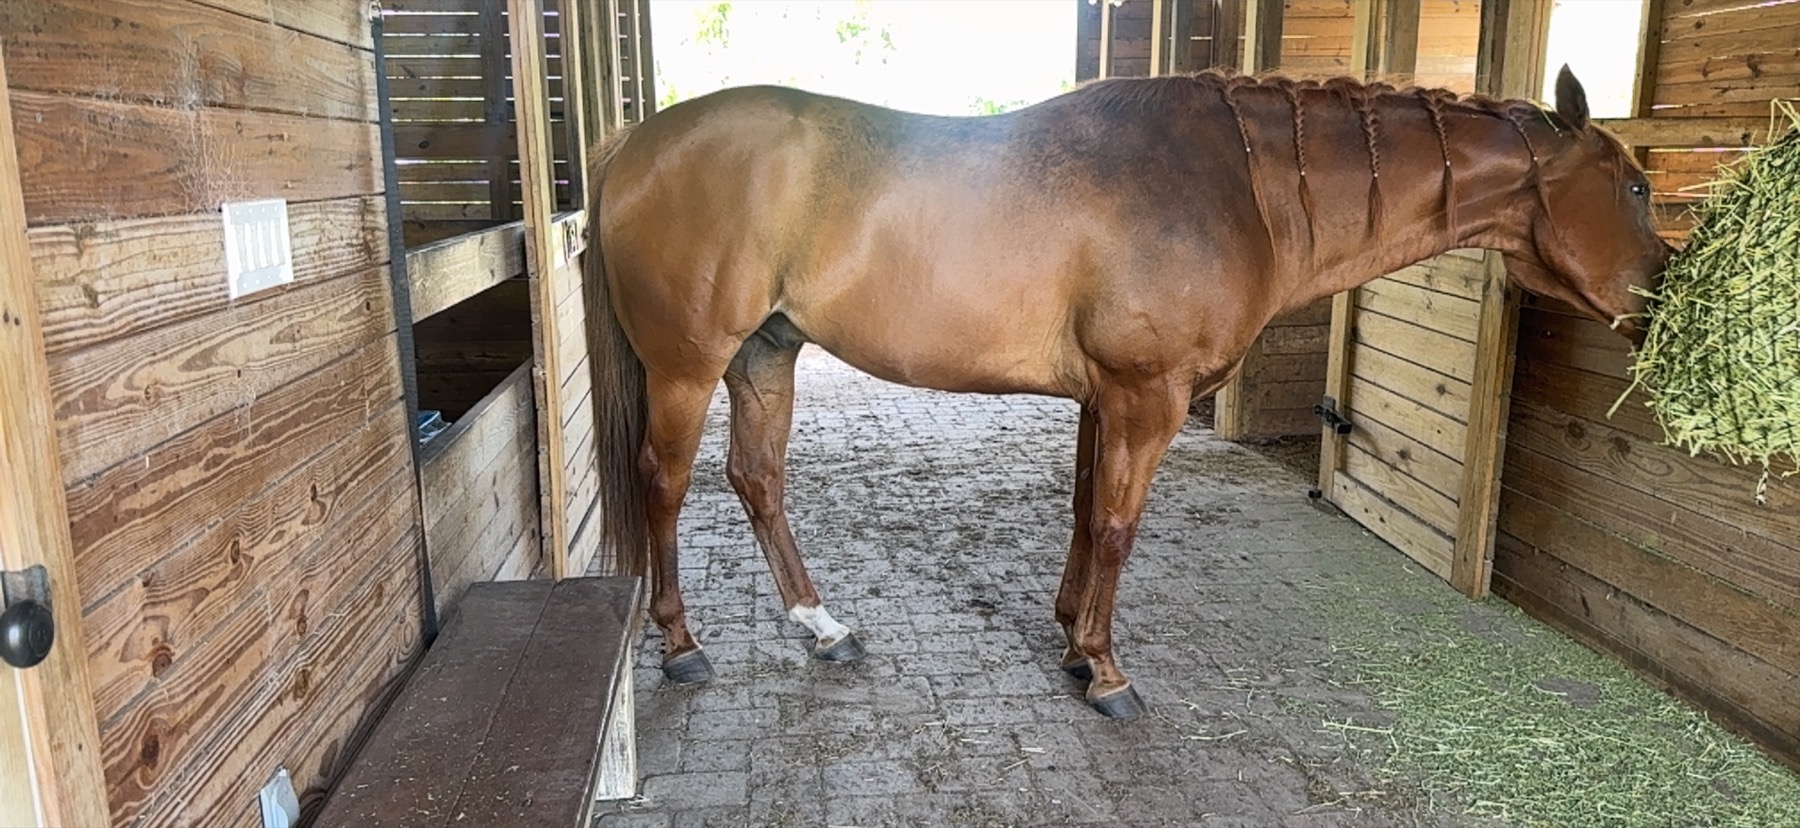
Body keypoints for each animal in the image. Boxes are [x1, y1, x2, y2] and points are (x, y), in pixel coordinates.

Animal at [579, 66, 1672, 719]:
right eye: (1636, 186)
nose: (1660, 295)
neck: (1238, 184)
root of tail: (631, 144)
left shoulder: (1103, 399)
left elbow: (1080, 515)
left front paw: (1070, 636)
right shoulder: (1147, 399)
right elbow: (1117, 526)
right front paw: (1104, 672)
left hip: (766, 354)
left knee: (757, 481)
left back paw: (823, 627)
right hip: (688, 365)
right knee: (664, 485)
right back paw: (680, 646)